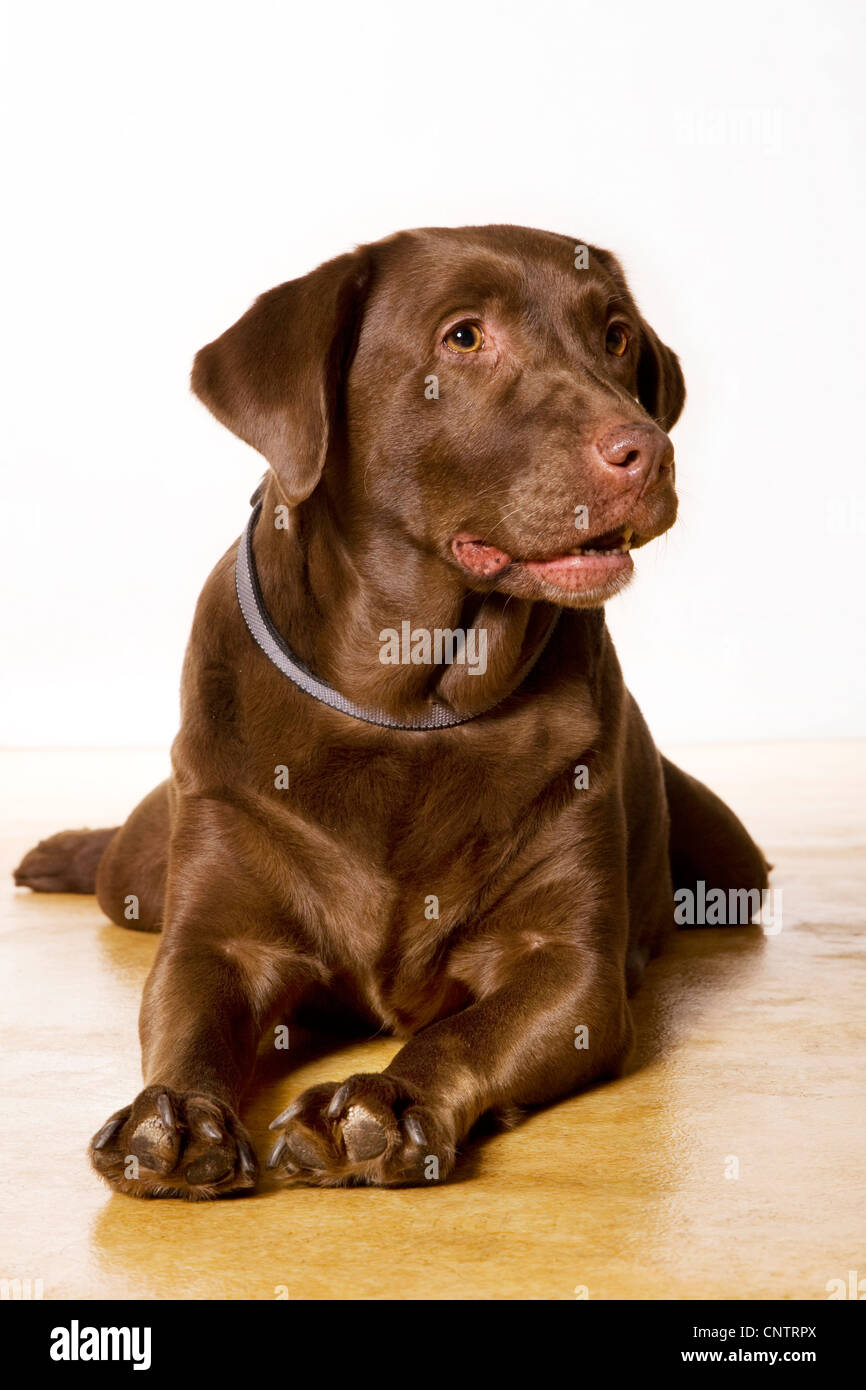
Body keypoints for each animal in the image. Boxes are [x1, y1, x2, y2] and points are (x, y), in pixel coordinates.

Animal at [13, 225, 767, 1195]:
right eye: (464, 337)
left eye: (616, 337)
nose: (648, 451)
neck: (408, 700)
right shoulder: (216, 937)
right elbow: (187, 1020)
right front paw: (172, 1117)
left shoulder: (569, 969)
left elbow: (465, 1032)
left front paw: (379, 1102)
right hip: (144, 873)